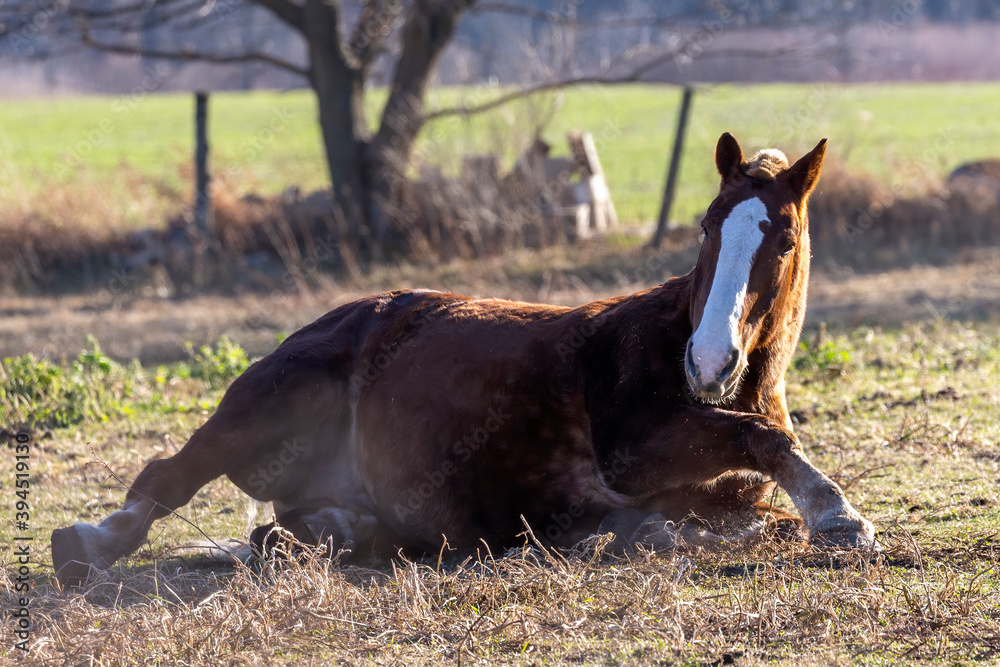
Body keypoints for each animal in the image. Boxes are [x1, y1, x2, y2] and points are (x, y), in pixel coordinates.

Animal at [50, 134, 876, 584]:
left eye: (784, 238)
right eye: (708, 226)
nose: (707, 362)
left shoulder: (726, 489)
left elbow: (760, 510)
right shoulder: (634, 448)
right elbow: (761, 442)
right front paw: (840, 514)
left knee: (299, 530)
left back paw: (298, 542)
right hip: (259, 411)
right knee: (168, 475)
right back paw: (90, 542)